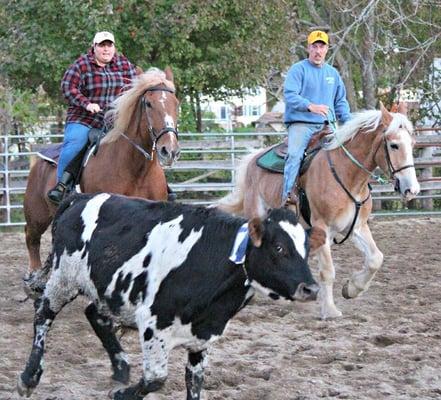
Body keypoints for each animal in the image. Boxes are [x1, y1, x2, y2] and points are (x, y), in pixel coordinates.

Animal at [18, 192, 324, 398]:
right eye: (280, 248)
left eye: (306, 248)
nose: (310, 289)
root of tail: (79, 198)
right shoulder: (154, 324)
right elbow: (156, 378)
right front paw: (121, 395)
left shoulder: (201, 339)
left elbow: (194, 383)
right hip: (64, 279)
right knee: (43, 315)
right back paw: (29, 378)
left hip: (108, 291)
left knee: (94, 314)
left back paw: (120, 368)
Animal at [21, 66, 180, 290]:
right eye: (148, 103)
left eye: (176, 103)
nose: (170, 150)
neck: (135, 169)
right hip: (37, 214)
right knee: (31, 238)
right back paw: (34, 277)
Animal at [219, 104, 420, 320]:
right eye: (394, 145)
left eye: (413, 143)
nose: (412, 190)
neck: (347, 176)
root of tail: (252, 159)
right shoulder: (322, 226)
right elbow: (328, 271)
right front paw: (330, 310)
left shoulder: (356, 226)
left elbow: (375, 258)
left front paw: (351, 289)